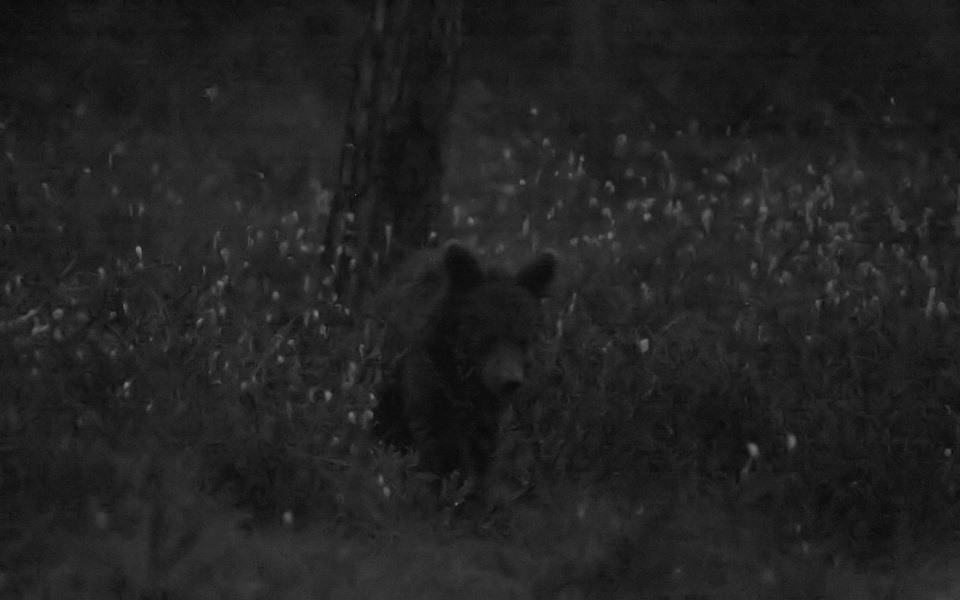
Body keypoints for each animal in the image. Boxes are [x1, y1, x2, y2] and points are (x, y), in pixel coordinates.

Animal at [374, 243, 556, 496]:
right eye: (487, 337)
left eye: (523, 339)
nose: (510, 381)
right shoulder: (430, 387)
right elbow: (437, 443)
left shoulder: (488, 415)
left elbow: (482, 452)